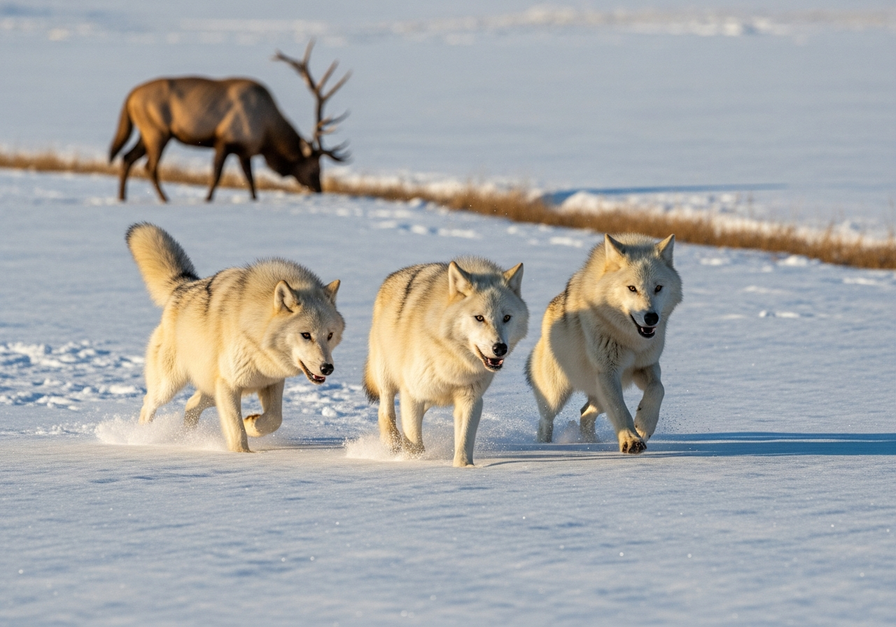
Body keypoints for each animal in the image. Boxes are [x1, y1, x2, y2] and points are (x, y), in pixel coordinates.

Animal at [109, 41, 350, 203]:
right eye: (315, 168)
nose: (319, 190)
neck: (267, 136)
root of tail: (130, 97)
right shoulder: (224, 140)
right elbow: (216, 175)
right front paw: (207, 199)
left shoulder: (245, 151)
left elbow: (251, 182)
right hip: (157, 131)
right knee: (149, 166)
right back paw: (164, 199)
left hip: (146, 132)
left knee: (127, 157)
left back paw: (121, 198)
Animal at [126, 223, 344, 452]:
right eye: (306, 335)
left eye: (329, 335)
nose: (327, 368)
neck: (256, 337)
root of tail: (183, 285)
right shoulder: (229, 385)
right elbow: (236, 429)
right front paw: (242, 454)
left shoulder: (272, 382)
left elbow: (274, 419)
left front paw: (251, 423)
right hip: (170, 385)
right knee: (148, 402)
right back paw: (143, 437)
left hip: (211, 390)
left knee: (190, 404)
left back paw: (187, 438)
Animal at [363, 258, 529, 467]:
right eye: (479, 318)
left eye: (506, 317)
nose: (500, 348)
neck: (454, 358)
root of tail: (393, 276)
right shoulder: (412, 394)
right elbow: (414, 442)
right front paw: (413, 462)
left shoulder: (470, 399)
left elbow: (464, 441)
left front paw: (464, 467)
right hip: (387, 375)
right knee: (385, 409)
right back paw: (391, 443)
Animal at [526, 233, 682, 453]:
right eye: (632, 288)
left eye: (658, 287)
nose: (651, 318)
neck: (629, 339)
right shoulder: (608, 372)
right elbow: (620, 410)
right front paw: (631, 441)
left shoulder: (646, 366)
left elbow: (658, 389)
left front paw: (643, 426)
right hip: (557, 394)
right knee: (545, 421)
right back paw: (544, 446)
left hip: (600, 391)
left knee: (584, 413)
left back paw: (591, 442)